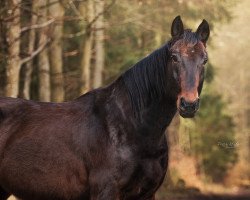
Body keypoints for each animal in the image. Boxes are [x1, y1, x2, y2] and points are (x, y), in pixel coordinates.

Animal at [0, 16, 209, 200]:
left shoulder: (147, 194)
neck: (132, 126)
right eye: (174, 57)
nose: (189, 104)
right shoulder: (106, 191)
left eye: (204, 60)